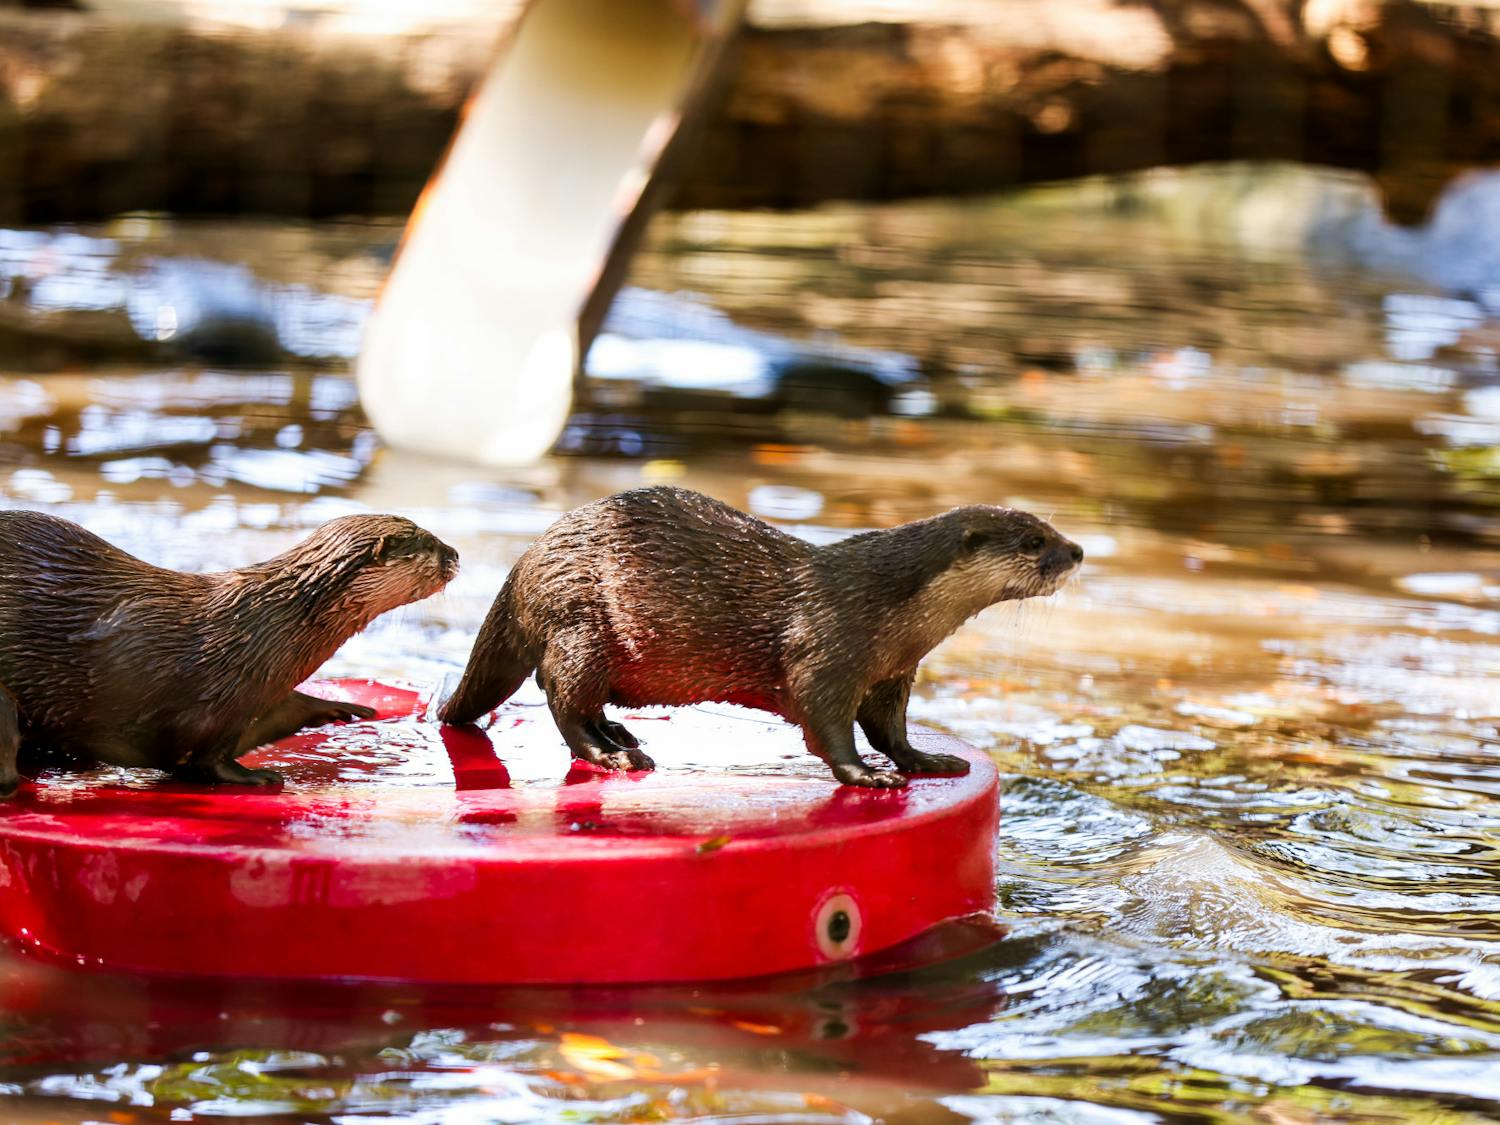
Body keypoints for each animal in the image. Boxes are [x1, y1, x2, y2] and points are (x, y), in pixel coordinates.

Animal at [0, 511, 458, 796]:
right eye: (426, 543)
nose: (455, 553)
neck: (260, 629)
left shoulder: (256, 700)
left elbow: (285, 711)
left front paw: (347, 709)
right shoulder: (203, 706)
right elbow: (196, 760)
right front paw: (257, 777)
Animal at [440, 486, 1081, 788]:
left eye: (1052, 527)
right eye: (1033, 541)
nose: (1076, 551)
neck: (886, 609)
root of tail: (526, 564)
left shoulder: (894, 672)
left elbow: (891, 729)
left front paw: (926, 759)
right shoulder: (826, 650)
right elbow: (828, 728)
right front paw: (866, 775)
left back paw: (618, 733)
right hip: (582, 626)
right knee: (561, 694)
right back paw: (612, 754)